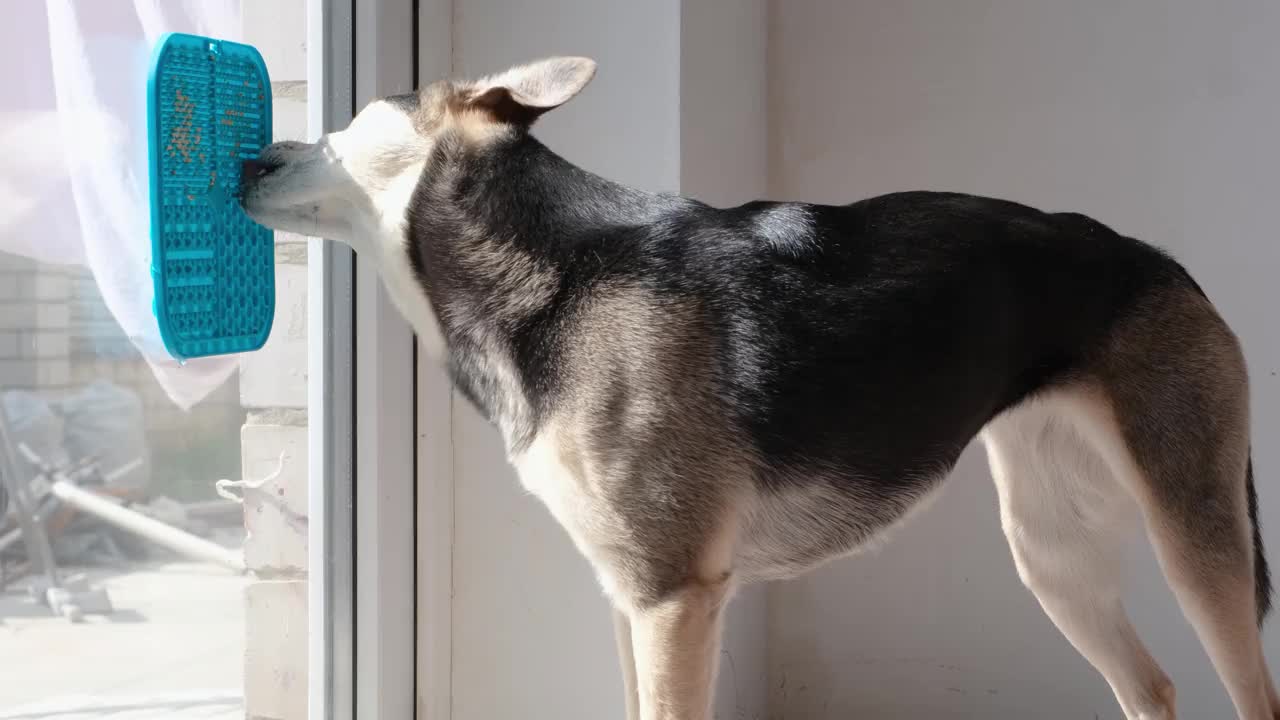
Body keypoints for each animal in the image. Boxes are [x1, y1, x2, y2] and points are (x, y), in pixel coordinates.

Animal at [238, 57, 1269, 717]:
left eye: (353, 119)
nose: (249, 158)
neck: (556, 272)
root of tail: (1162, 263)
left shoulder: (673, 601)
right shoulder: (628, 600)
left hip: (1195, 537)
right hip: (1053, 552)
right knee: (1152, 690)